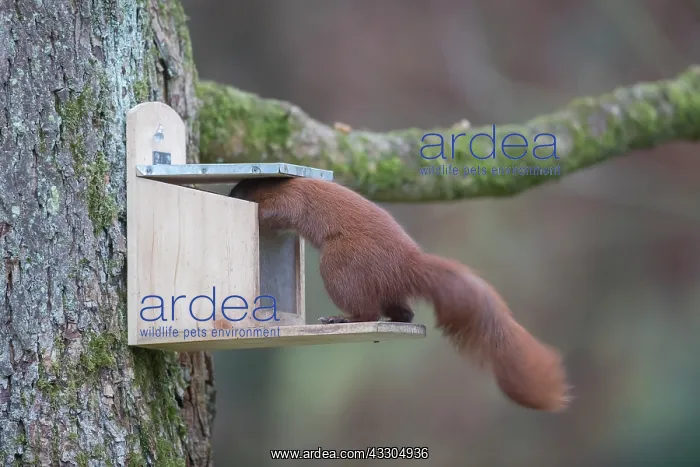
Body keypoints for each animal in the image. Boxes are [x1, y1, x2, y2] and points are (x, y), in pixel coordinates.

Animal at [229, 177, 570, 412]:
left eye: (236, 190)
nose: (229, 196)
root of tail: (406, 264)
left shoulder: (291, 198)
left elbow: (277, 210)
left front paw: (257, 213)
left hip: (340, 265)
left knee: (368, 312)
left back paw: (339, 318)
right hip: (383, 287)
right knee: (403, 311)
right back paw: (395, 319)